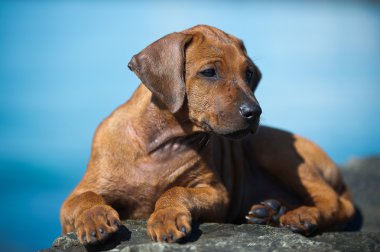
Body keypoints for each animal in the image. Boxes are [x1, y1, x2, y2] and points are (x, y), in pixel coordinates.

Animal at [59, 25, 354, 244]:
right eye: (209, 72)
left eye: (249, 73)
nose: (255, 112)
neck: (159, 143)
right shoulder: (74, 199)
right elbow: (84, 198)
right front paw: (94, 217)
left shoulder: (216, 193)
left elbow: (176, 190)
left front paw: (166, 216)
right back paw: (270, 211)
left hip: (274, 150)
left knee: (334, 202)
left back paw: (300, 215)